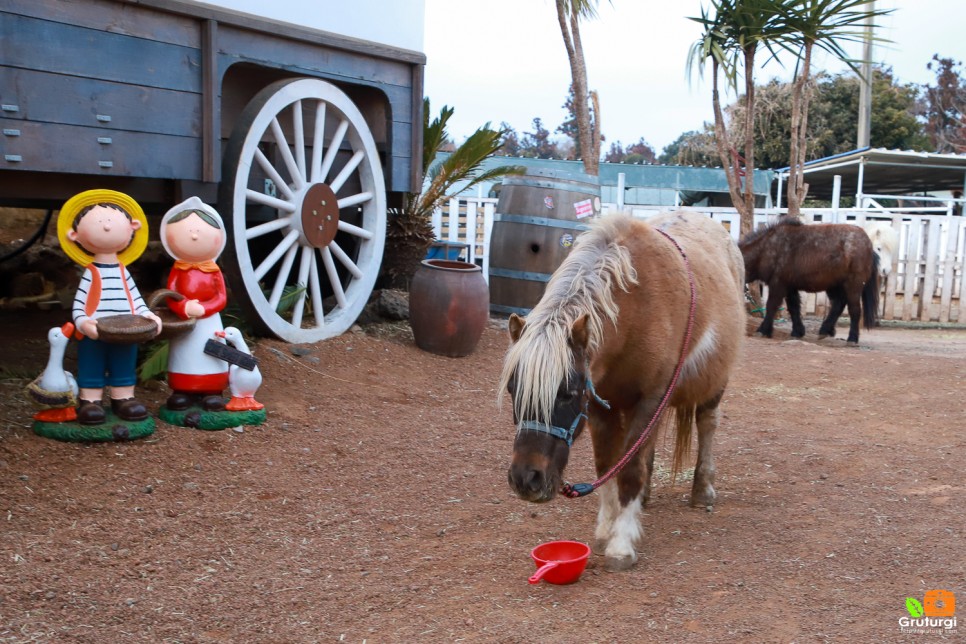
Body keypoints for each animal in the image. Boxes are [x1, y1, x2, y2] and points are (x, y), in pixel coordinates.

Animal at [502, 211, 744, 572]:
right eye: (511, 390)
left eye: (567, 393)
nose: (526, 479)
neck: (635, 309)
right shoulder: (600, 406)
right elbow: (607, 464)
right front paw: (606, 528)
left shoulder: (651, 399)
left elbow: (629, 470)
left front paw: (621, 543)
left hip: (715, 382)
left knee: (706, 424)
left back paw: (702, 490)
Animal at [740, 216, 884, 344]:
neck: (766, 249)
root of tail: (870, 248)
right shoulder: (790, 287)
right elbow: (793, 308)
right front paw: (797, 331)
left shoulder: (778, 284)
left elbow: (771, 305)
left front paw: (763, 330)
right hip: (835, 286)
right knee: (838, 304)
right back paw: (825, 330)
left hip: (853, 285)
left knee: (854, 309)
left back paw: (852, 338)